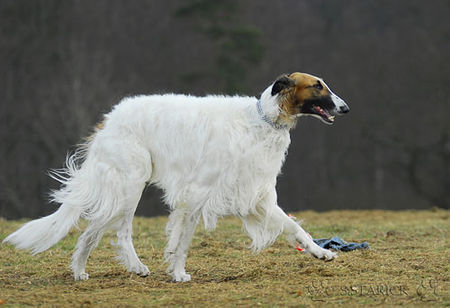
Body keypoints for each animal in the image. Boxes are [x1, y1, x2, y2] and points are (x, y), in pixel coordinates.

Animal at [1, 72, 350, 282]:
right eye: (318, 85)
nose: (345, 108)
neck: (263, 120)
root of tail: (109, 119)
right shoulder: (196, 193)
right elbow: (182, 242)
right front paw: (179, 274)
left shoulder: (256, 196)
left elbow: (295, 228)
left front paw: (322, 252)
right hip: (131, 184)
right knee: (116, 232)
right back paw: (126, 267)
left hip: (125, 187)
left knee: (93, 231)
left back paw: (83, 271)